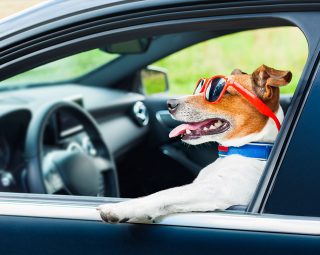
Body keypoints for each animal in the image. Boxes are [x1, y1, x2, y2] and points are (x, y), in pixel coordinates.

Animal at [97, 65, 292, 223]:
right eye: (200, 86)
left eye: (219, 91)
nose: (170, 103)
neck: (241, 150)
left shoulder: (217, 190)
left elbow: (165, 193)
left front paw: (120, 208)